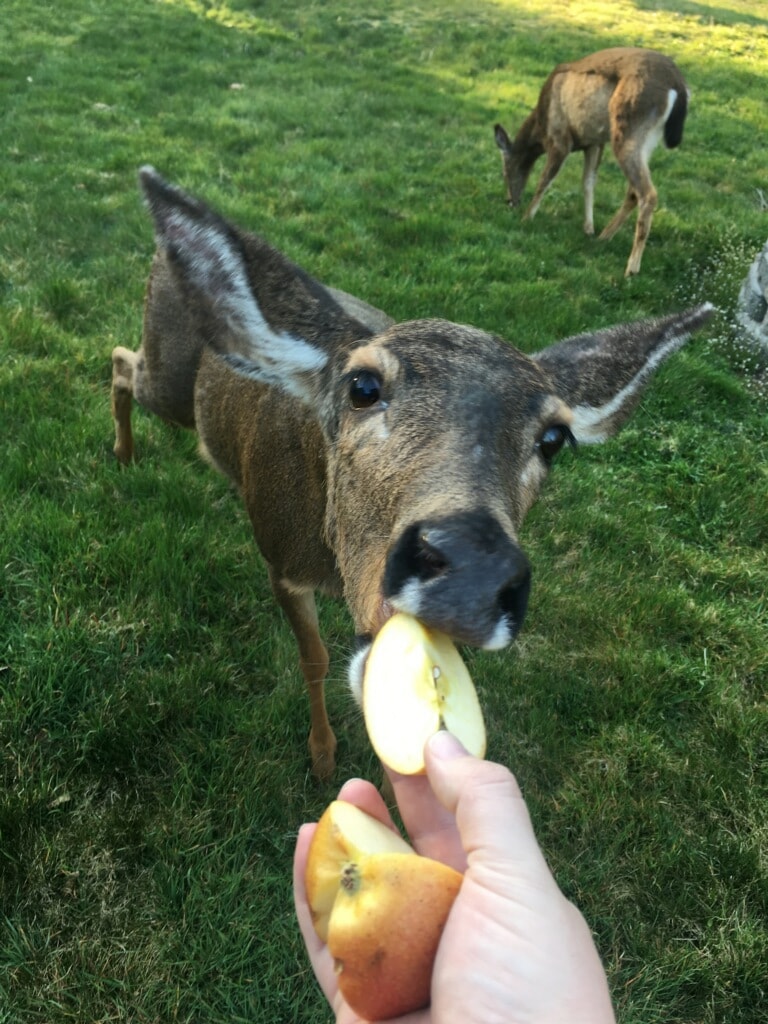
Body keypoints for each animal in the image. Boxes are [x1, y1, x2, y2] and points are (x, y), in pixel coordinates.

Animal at [111, 166, 712, 780]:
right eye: (362, 386)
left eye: (553, 438)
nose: (474, 570)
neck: (331, 563)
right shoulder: (280, 560)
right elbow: (313, 657)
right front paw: (322, 756)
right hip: (171, 382)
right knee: (120, 361)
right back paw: (124, 452)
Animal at [493, 47, 689, 276]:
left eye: (505, 171)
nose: (510, 201)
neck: (541, 126)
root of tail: (678, 87)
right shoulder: (594, 143)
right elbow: (588, 183)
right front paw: (588, 228)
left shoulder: (560, 138)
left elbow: (545, 180)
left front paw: (527, 218)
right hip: (648, 139)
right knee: (634, 192)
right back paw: (604, 236)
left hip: (629, 126)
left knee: (648, 193)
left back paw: (631, 268)